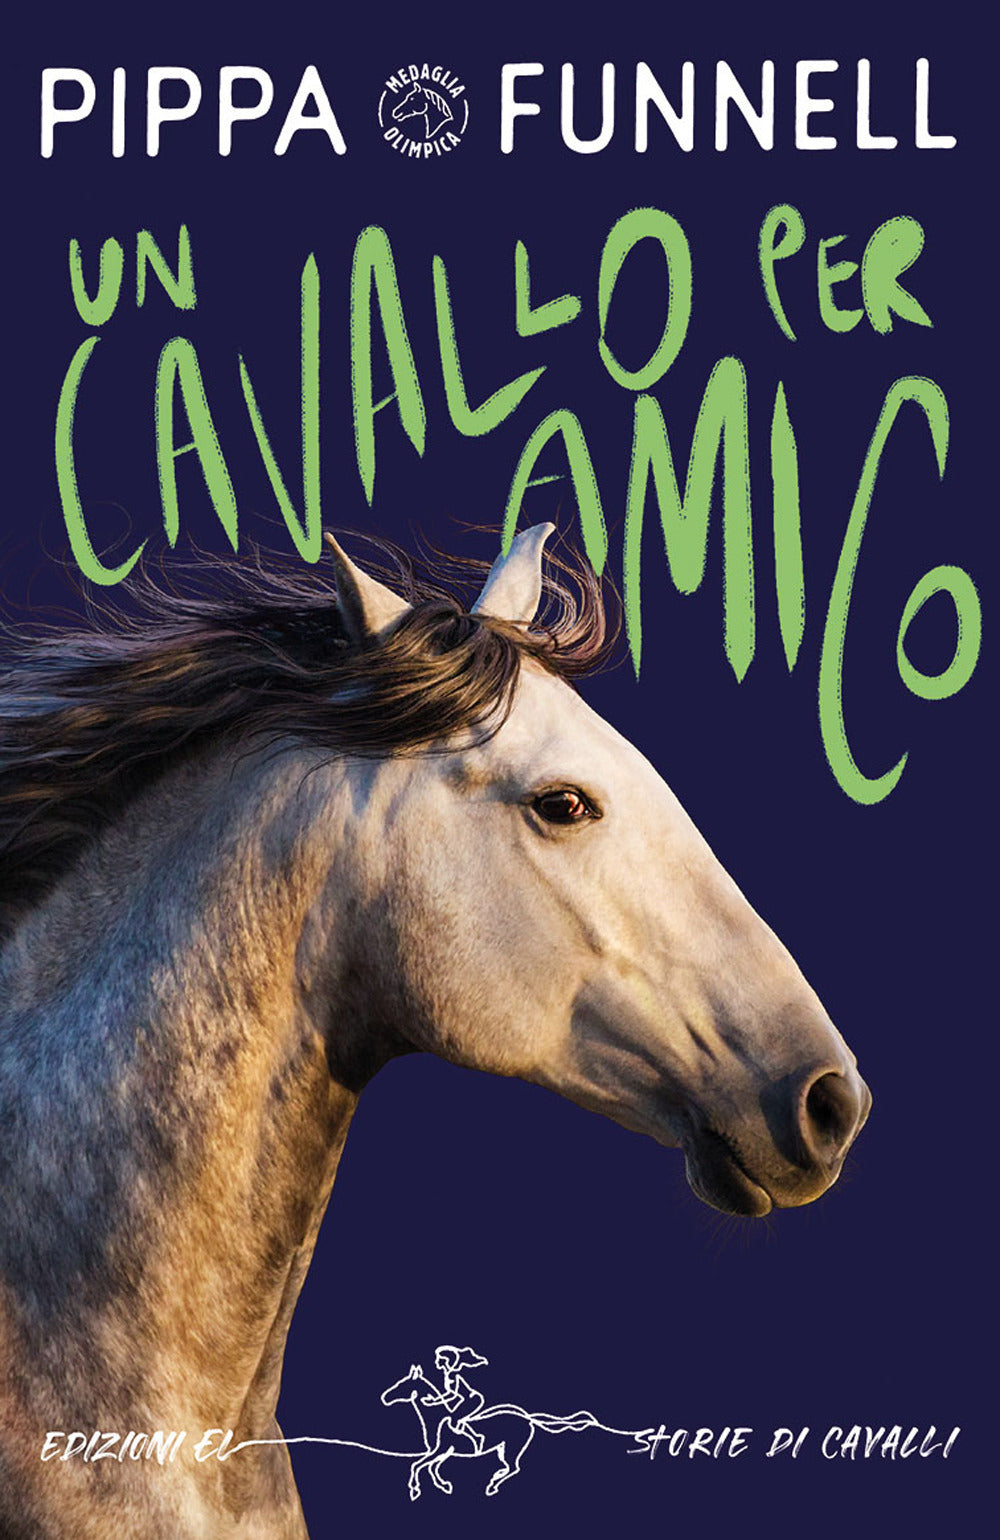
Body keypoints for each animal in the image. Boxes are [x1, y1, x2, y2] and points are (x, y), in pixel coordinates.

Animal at [379, 1363, 598, 1500]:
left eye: (402, 1385)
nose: (385, 1398)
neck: (436, 1419)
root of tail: (528, 1418)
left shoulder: (441, 1451)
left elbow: (417, 1465)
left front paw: (415, 1490)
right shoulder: (443, 1452)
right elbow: (431, 1468)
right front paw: (444, 1486)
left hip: (512, 1448)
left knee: (514, 1467)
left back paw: (492, 1485)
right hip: (502, 1449)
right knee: (509, 1467)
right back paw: (495, 1477)